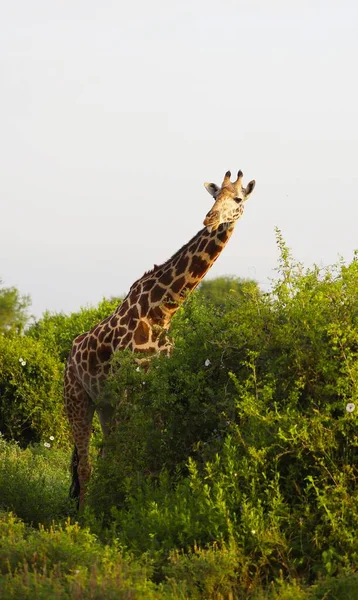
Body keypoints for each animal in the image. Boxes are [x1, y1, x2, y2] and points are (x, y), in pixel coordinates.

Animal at [64, 169, 255, 506]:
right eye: (214, 195)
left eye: (237, 198)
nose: (209, 218)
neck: (161, 313)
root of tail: (69, 355)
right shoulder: (129, 391)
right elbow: (134, 458)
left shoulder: (156, 391)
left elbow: (154, 458)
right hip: (77, 397)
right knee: (86, 464)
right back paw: (84, 513)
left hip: (104, 403)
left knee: (106, 456)